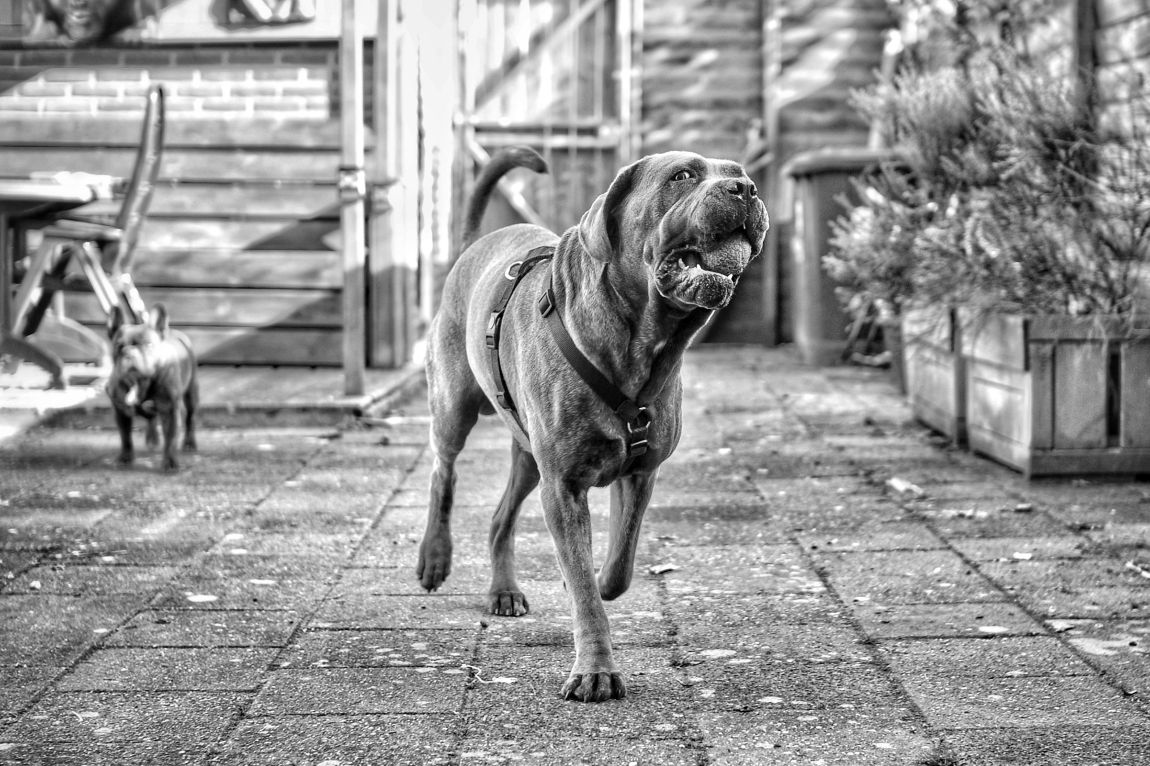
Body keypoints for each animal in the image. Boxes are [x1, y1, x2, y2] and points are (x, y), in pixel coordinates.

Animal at [106, 304, 198, 472]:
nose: (130, 353)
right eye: (119, 346)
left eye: (148, 344)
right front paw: (125, 458)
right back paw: (152, 439)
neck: (139, 382)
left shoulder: (170, 410)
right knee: (151, 419)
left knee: (190, 418)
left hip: (191, 394)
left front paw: (170, 462)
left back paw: (189, 443)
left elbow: (171, 438)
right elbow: (125, 436)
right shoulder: (121, 411)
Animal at [418, 146, 768, 702]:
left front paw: (591, 581)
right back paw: (434, 558)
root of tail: (474, 245)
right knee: (442, 471)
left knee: (500, 516)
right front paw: (595, 671)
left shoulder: (639, 473)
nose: (747, 189)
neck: (644, 342)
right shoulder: (562, 485)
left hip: (529, 456)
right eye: (682, 175)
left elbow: (616, 568)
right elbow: (584, 588)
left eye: (740, 174)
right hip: (455, 406)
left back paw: (504, 591)